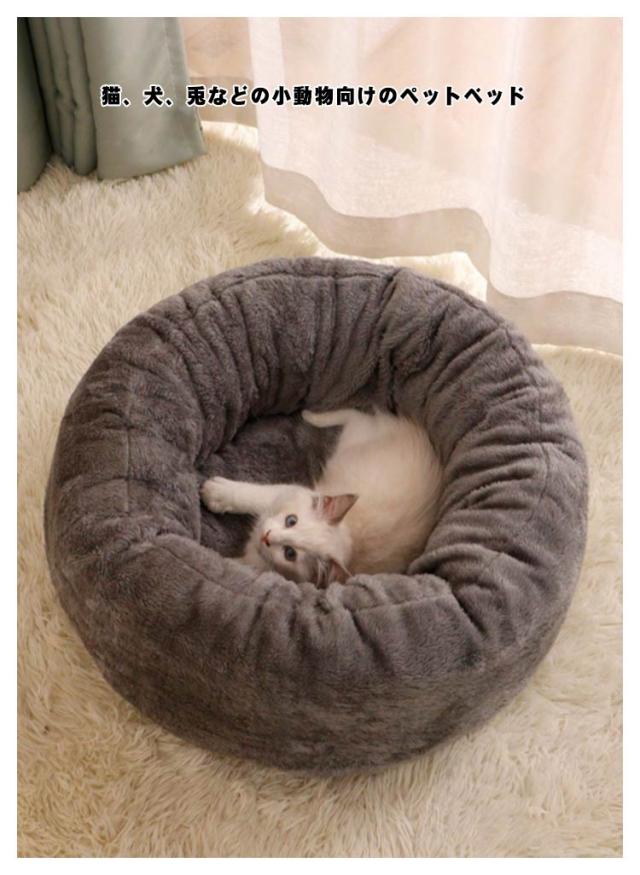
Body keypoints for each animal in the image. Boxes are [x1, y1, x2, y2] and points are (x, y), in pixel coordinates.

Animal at [200, 408, 443, 587]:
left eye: (290, 554)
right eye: (291, 520)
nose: (266, 536)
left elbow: (233, 565)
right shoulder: (288, 491)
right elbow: (253, 495)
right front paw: (216, 493)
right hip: (351, 441)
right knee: (355, 414)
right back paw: (311, 415)